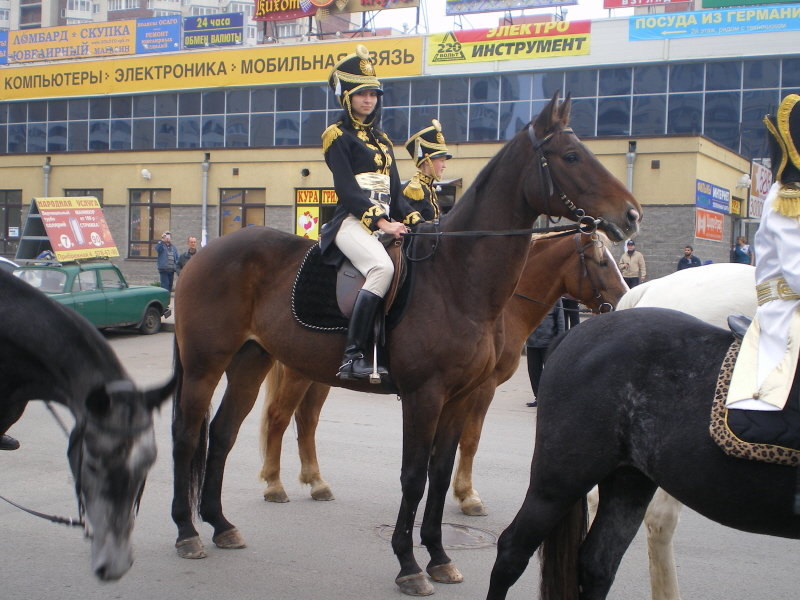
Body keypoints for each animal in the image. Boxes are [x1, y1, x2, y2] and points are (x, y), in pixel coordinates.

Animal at [260, 230, 628, 510]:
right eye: (602, 261)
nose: (624, 299)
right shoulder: (479, 388)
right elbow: (471, 439)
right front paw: (467, 495)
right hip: (297, 372)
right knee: (279, 417)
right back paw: (274, 484)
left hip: (316, 374)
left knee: (306, 420)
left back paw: (316, 482)